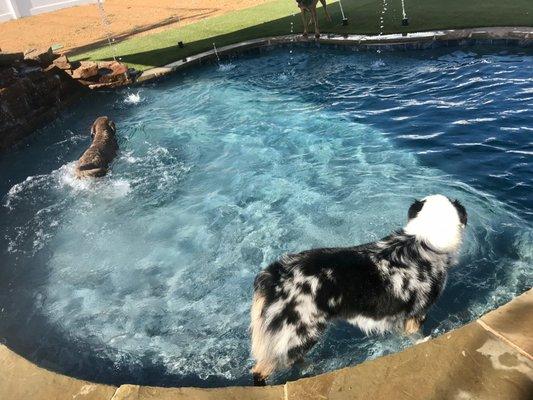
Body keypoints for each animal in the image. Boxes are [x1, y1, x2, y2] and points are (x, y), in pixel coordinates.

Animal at [249, 195, 466, 386]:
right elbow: (418, 338)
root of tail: (272, 275)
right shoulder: (417, 314)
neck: (423, 240)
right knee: (261, 369)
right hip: (299, 333)